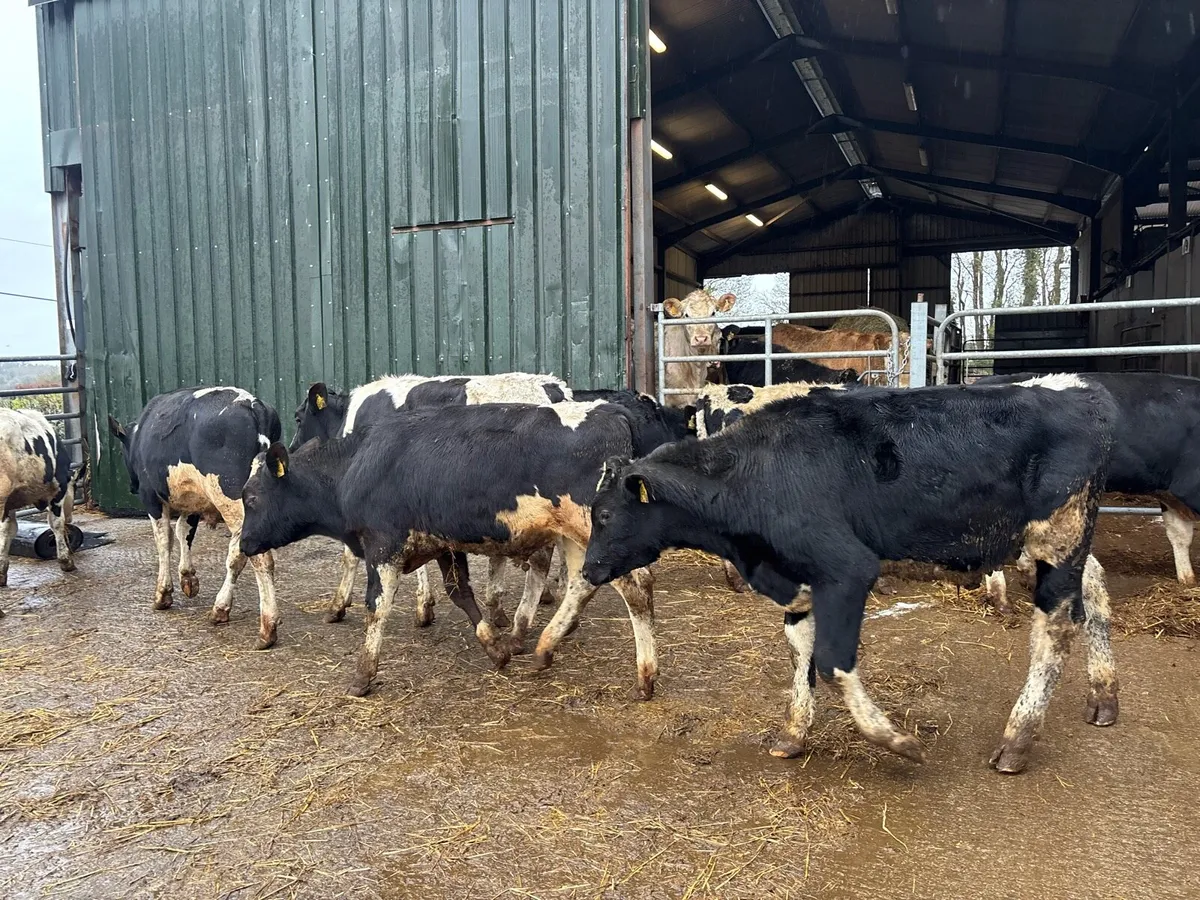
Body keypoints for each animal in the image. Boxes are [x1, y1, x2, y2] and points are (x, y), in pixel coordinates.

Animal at [1, 408, 79, 593]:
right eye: (75, 488)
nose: (71, 518)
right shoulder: (59, 487)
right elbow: (56, 523)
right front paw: (66, 561)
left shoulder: (10, 502)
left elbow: (9, 530)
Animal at [108, 386, 283, 648]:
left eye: (122, 450)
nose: (131, 486)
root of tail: (252, 404)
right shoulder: (192, 501)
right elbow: (184, 532)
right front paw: (187, 577)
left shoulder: (152, 498)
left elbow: (164, 540)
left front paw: (163, 593)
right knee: (238, 553)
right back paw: (222, 608)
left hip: (231, 497)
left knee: (256, 556)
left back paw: (266, 626)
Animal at [239, 401, 657, 699]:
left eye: (252, 497)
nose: (243, 543)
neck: (358, 463)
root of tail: (611, 412)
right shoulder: (442, 542)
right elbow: (461, 593)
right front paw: (495, 648)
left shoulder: (383, 545)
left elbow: (376, 606)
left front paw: (363, 675)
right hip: (572, 536)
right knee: (581, 584)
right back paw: (544, 646)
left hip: (591, 531)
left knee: (637, 587)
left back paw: (645, 676)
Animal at [582, 374, 1120, 774]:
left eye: (605, 514)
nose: (587, 569)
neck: (752, 474)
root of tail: (1080, 386)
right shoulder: (798, 579)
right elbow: (801, 650)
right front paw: (793, 733)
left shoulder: (847, 569)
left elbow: (832, 661)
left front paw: (897, 740)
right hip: (1053, 543)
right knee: (1093, 589)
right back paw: (1104, 697)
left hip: (1058, 537)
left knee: (1056, 627)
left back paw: (1018, 739)